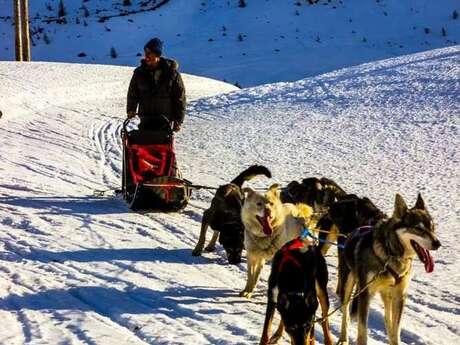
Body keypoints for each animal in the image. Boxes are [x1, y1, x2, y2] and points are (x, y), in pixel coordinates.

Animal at [338, 194, 442, 344]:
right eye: (419, 228)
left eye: (432, 227)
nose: (438, 243)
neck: (390, 252)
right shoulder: (365, 294)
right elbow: (362, 332)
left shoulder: (400, 296)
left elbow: (395, 330)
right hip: (348, 285)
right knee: (345, 312)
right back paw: (343, 338)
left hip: (387, 294)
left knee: (388, 319)